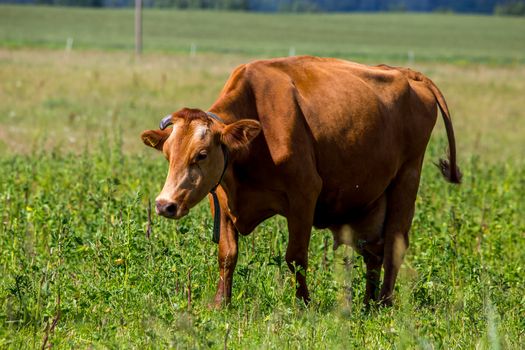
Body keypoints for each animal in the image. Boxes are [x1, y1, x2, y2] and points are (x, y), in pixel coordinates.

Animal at [139, 56, 458, 308]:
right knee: (373, 252)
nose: (165, 205)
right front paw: (220, 304)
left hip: (407, 179)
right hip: (370, 203)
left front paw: (304, 304)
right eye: (168, 154)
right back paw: (368, 303)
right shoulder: (222, 200)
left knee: (393, 246)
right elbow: (227, 255)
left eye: (202, 154)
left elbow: (295, 257)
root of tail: (406, 73)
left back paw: (384, 303)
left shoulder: (304, 196)